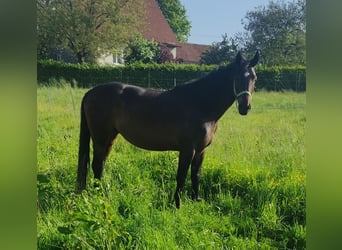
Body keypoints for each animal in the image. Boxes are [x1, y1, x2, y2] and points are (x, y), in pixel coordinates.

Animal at [77, 51, 260, 209]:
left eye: (254, 77)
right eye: (237, 77)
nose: (245, 107)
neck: (200, 104)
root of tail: (90, 93)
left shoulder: (201, 150)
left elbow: (196, 174)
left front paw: (196, 199)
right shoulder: (187, 150)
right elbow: (181, 176)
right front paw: (177, 205)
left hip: (110, 138)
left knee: (100, 165)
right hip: (100, 138)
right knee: (96, 165)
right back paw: (101, 196)